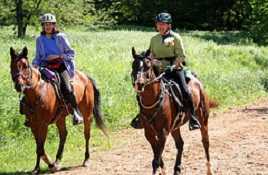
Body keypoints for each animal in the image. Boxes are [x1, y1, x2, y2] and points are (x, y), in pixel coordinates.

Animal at [9, 46, 108, 174]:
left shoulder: (43, 124)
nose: (19, 86)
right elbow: (39, 147)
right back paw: (57, 160)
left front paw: (48, 166)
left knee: (87, 135)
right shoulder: (33, 125)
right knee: (63, 134)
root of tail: (86, 77)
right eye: (12, 66)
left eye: (25, 66)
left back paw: (86, 159)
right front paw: (40, 167)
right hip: (60, 118)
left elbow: (40, 148)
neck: (37, 92)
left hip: (87, 114)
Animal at [131, 47, 217, 175]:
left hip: (203, 119)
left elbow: (156, 160)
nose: (139, 83)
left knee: (205, 142)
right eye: (133, 65)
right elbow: (157, 157)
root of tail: (197, 81)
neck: (153, 102)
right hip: (175, 127)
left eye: (147, 66)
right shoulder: (149, 134)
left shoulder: (163, 133)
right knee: (180, 144)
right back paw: (177, 168)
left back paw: (209, 170)